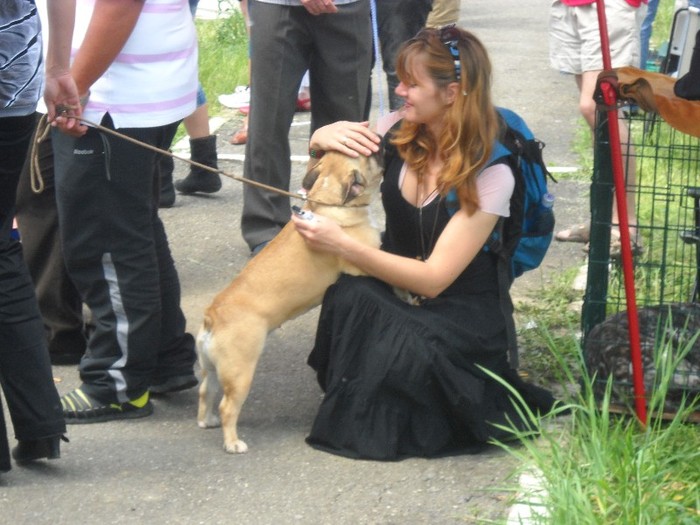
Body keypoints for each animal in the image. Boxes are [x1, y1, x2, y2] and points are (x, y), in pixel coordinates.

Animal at [196, 149, 382, 452]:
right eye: (370, 158)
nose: (381, 146)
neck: (327, 199)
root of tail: (212, 316)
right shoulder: (365, 264)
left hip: (212, 367)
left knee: (206, 390)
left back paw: (206, 420)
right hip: (240, 371)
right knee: (228, 407)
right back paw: (233, 442)